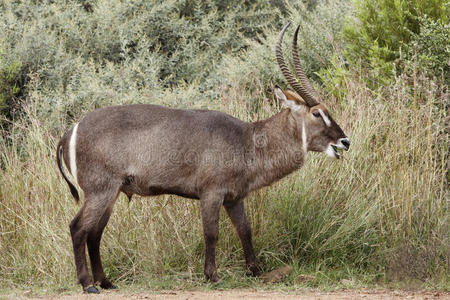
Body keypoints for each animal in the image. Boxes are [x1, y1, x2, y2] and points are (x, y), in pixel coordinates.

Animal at [57, 22, 352, 292]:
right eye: (317, 113)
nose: (345, 141)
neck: (247, 140)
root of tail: (71, 130)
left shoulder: (235, 198)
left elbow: (245, 230)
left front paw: (255, 270)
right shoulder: (211, 193)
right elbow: (212, 233)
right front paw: (212, 275)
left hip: (113, 192)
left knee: (94, 233)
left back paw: (106, 282)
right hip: (101, 190)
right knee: (78, 228)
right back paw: (88, 284)